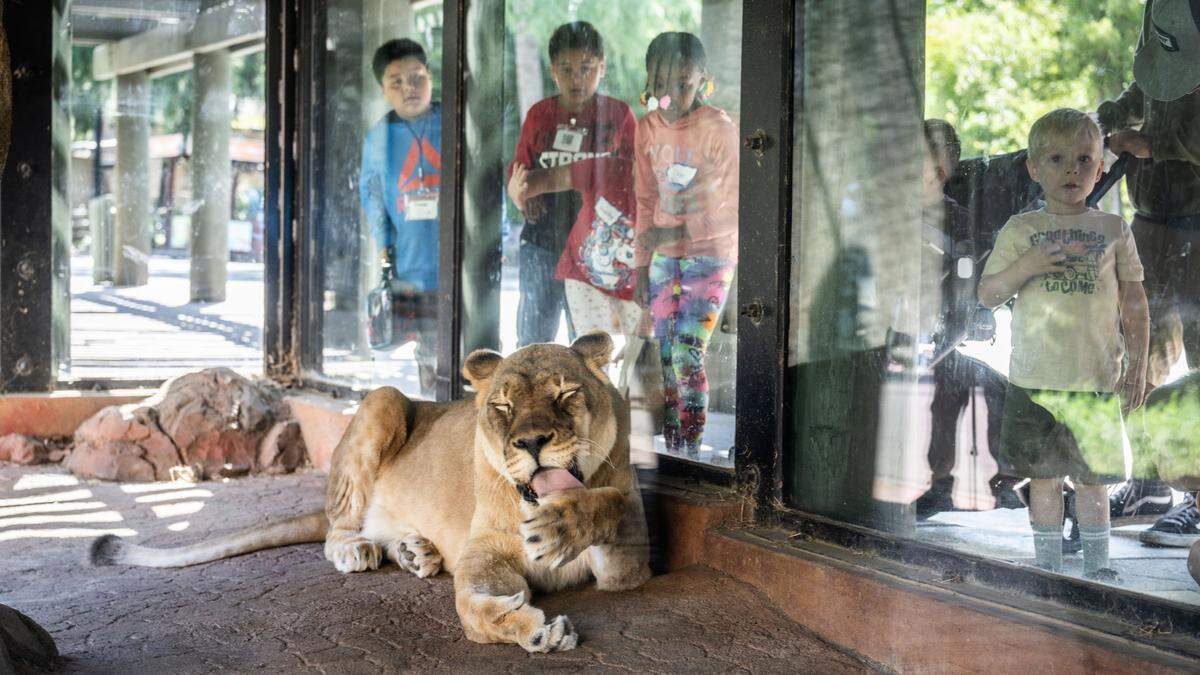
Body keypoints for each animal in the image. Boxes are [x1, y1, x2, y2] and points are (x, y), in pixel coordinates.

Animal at [90, 332, 651, 652]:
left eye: (566, 394)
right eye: (503, 407)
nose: (532, 443)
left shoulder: (629, 566)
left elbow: (612, 504)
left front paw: (563, 526)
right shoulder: (486, 549)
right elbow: (472, 606)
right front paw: (528, 628)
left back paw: (415, 551)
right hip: (383, 399)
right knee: (335, 530)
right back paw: (361, 549)